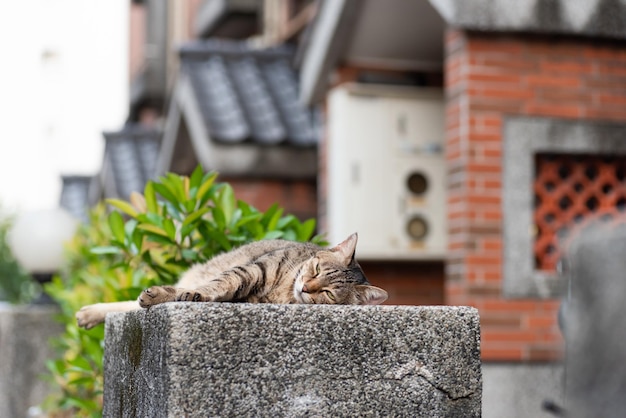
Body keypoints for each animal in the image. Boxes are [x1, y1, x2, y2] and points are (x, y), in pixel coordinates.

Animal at [76, 233, 388, 328]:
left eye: (328, 293)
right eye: (315, 269)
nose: (305, 287)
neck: (286, 290)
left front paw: (178, 295)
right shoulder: (252, 271)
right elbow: (216, 285)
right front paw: (183, 294)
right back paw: (89, 313)